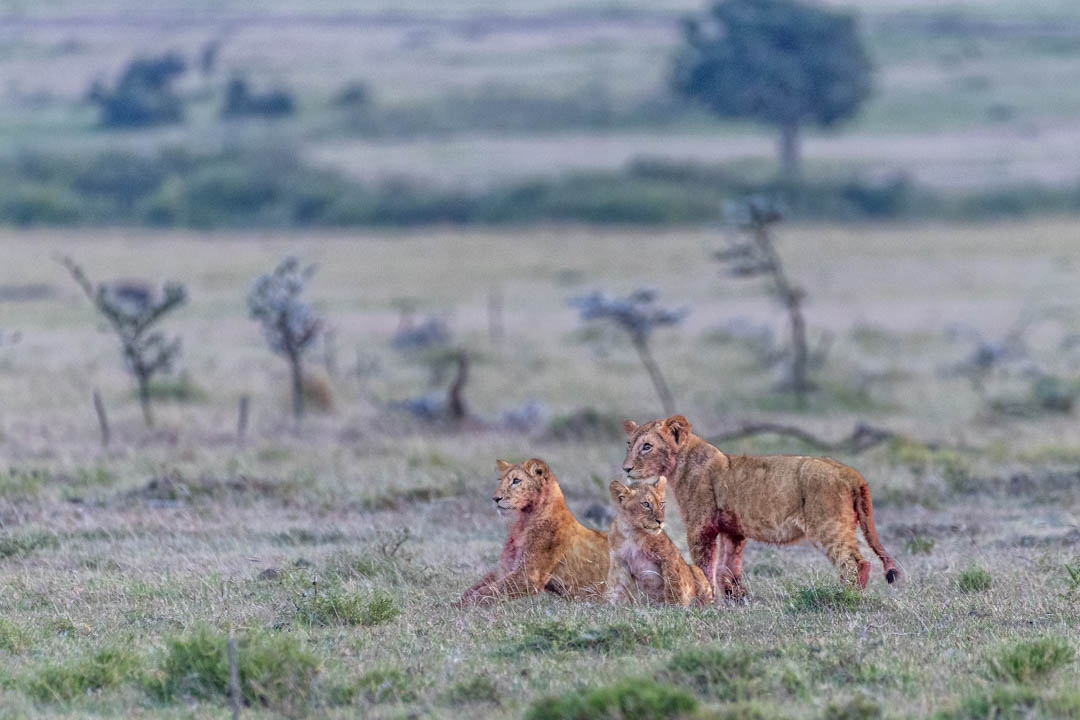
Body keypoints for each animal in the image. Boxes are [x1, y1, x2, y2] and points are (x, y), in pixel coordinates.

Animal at [455, 458, 608, 606]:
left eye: (516, 481)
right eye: (500, 480)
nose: (495, 498)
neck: (523, 521)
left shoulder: (529, 574)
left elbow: (488, 591)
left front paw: (462, 608)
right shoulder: (506, 566)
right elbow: (474, 588)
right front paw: (455, 603)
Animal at [606, 476, 713, 607]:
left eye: (662, 503)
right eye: (646, 504)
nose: (660, 521)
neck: (633, 533)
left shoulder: (669, 556)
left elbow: (673, 584)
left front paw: (674, 607)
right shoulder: (619, 561)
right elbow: (616, 587)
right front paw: (610, 605)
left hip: (696, 570)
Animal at [623, 415, 900, 598]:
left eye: (647, 446)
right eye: (629, 444)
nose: (625, 468)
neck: (681, 462)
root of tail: (851, 473)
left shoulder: (700, 528)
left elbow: (705, 567)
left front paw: (707, 600)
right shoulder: (733, 530)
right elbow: (728, 569)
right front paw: (737, 600)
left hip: (827, 526)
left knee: (856, 563)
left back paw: (846, 597)